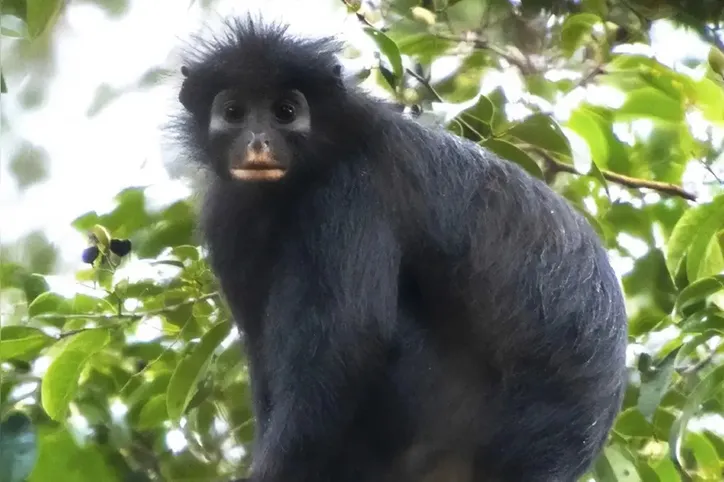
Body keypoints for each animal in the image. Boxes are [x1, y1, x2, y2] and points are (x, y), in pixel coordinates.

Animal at [170, 16, 628, 482]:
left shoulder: (351, 189)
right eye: (234, 113)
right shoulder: (228, 215)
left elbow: (349, 341)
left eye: (285, 112)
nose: (258, 141)